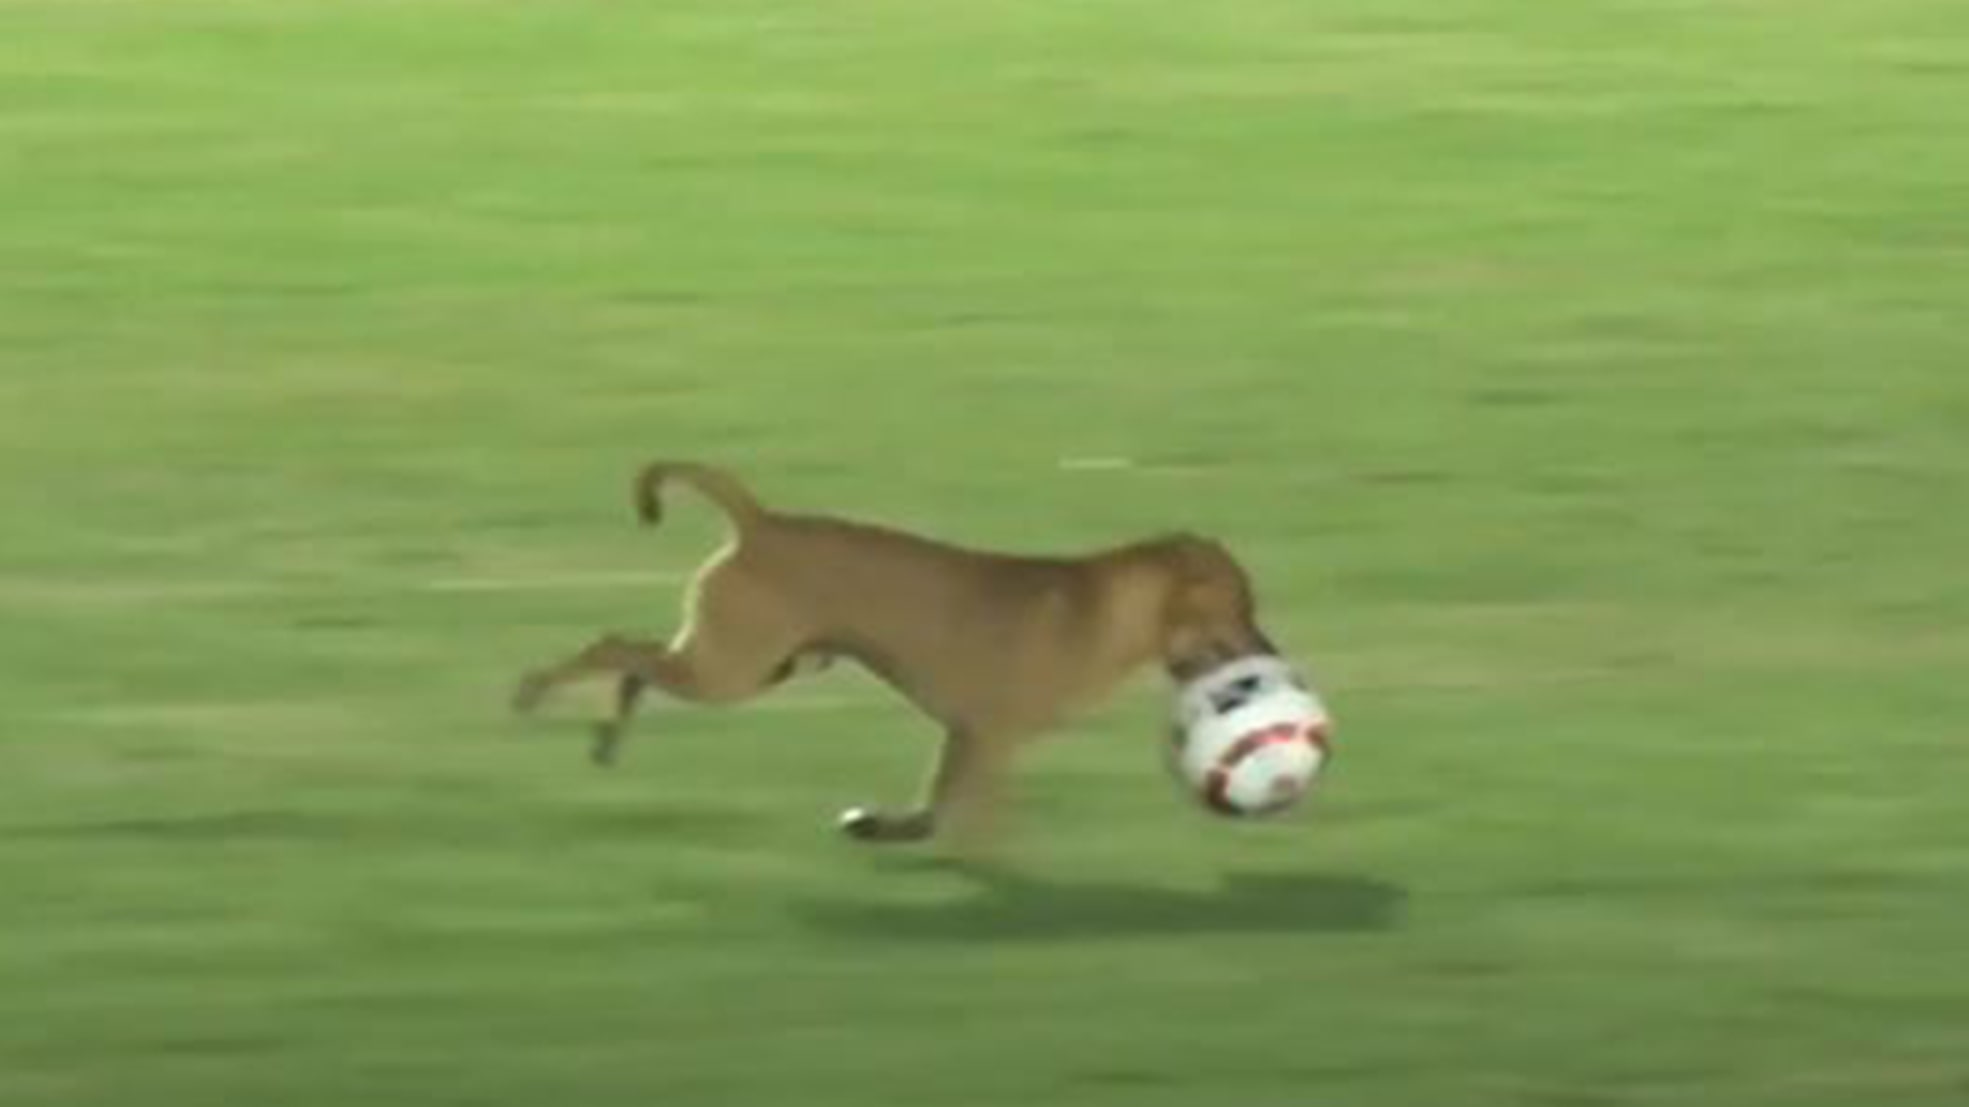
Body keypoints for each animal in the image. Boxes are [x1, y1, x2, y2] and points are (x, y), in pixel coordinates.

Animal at [511, 456, 1275, 843]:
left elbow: (936, 801)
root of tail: (758, 522)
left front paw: (889, 825)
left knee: (634, 666)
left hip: (746, 663)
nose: (1269, 648)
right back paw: (534, 692)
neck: (1104, 607)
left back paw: (606, 735)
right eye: (1244, 604)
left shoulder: (966, 734)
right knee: (613, 648)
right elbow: (976, 818)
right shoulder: (990, 736)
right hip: (727, 667)